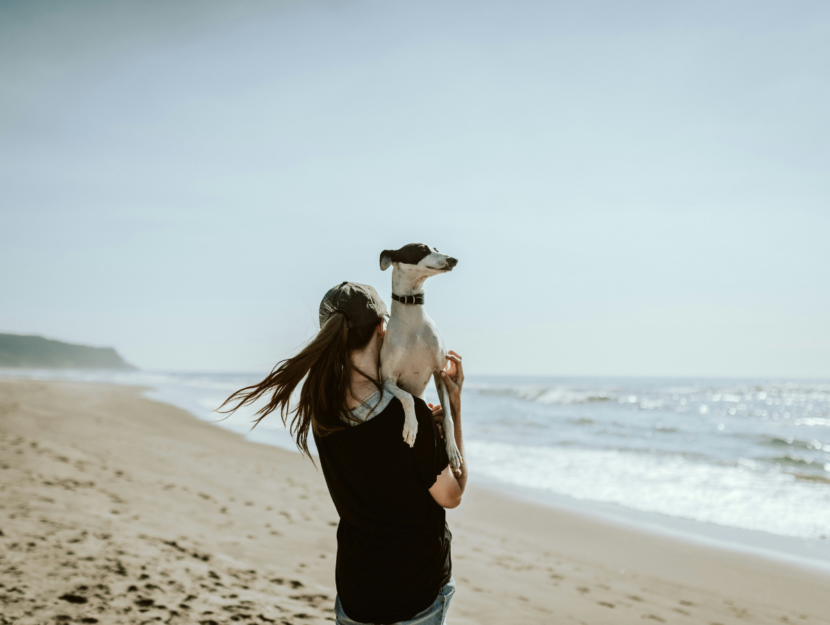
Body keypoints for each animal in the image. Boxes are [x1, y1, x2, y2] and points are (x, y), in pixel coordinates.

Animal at [380, 243, 464, 468]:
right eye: (421, 249)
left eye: (436, 248)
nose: (453, 260)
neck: (413, 321)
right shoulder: (387, 380)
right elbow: (407, 397)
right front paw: (411, 427)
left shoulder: (439, 372)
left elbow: (448, 419)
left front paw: (453, 451)